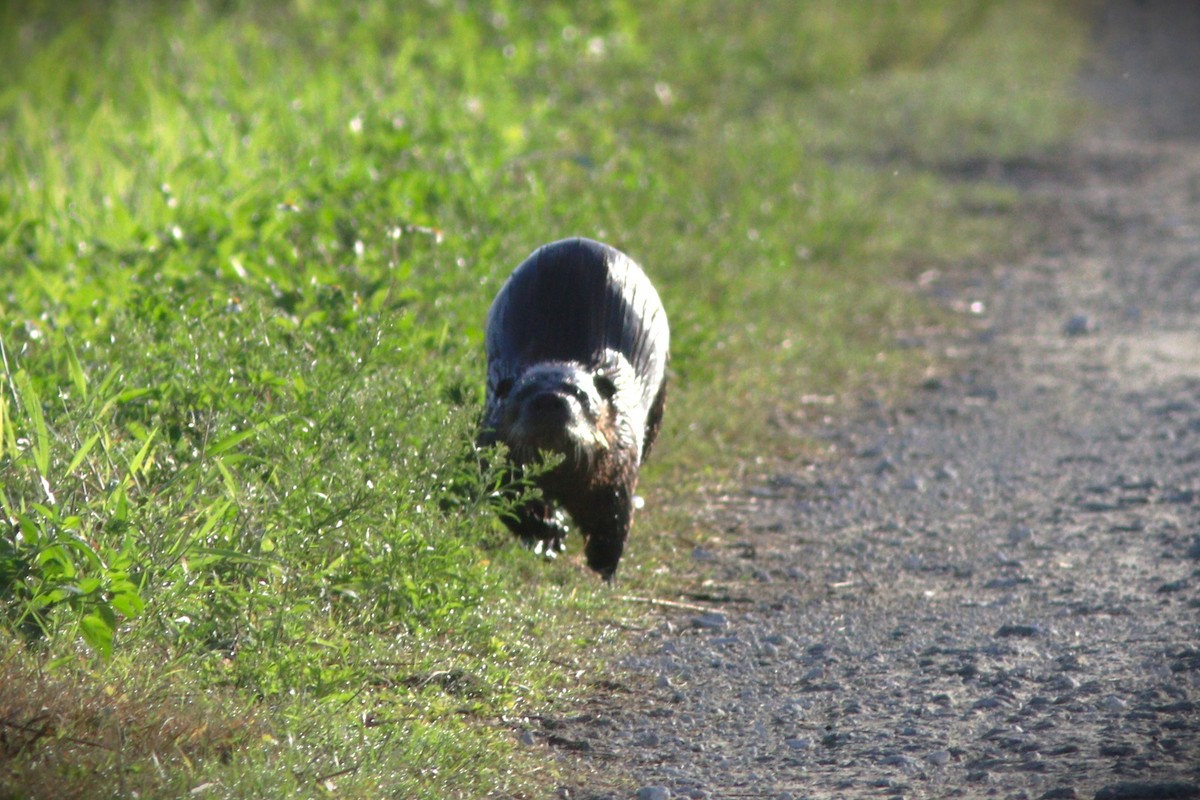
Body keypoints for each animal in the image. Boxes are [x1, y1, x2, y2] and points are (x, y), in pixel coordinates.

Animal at [479, 237, 669, 580]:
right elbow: (511, 499)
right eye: (522, 395)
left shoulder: (620, 462)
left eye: (580, 394)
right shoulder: (492, 448)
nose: (549, 400)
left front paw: (603, 570)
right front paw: (551, 533)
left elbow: (613, 519)